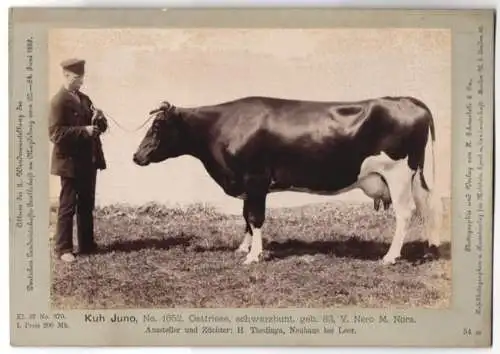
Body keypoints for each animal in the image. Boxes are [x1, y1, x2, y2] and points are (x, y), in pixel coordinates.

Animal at [133, 95, 442, 264]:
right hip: (415, 174)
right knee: (427, 205)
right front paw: (243, 247)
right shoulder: (248, 184)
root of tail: (406, 100)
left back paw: (390, 257)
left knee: (406, 212)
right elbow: (245, 217)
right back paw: (431, 249)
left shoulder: (256, 179)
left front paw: (253, 255)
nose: (137, 156)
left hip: (398, 172)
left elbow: (255, 218)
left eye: (157, 126)